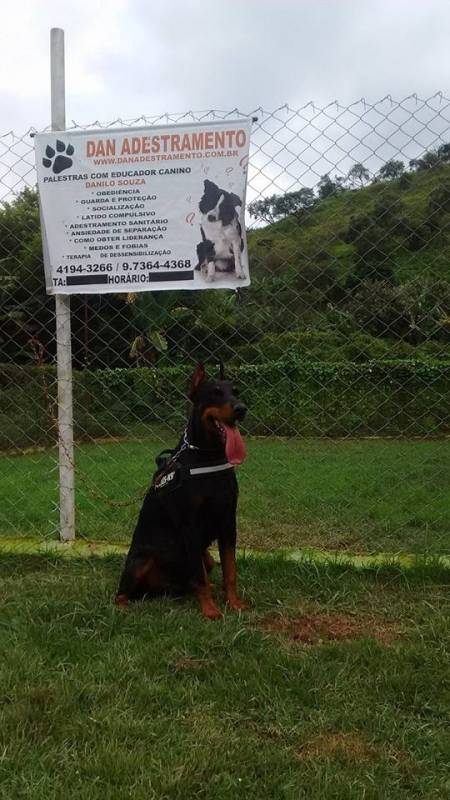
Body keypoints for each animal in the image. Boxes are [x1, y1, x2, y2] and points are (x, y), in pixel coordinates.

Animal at [115, 362, 250, 620]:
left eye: (236, 391)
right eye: (215, 393)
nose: (242, 409)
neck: (208, 455)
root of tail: (161, 589)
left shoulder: (228, 522)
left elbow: (230, 570)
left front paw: (234, 603)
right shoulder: (190, 526)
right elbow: (200, 577)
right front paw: (210, 610)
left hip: (206, 557)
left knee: (201, 574)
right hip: (141, 560)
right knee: (121, 593)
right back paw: (125, 607)